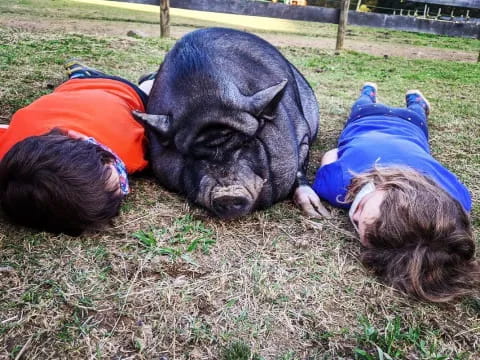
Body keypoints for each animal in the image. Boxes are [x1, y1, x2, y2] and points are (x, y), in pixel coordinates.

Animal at [135, 26, 330, 218]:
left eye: (247, 142)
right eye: (192, 155)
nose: (227, 195)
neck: (206, 98)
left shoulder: (303, 135)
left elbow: (299, 167)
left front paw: (318, 213)